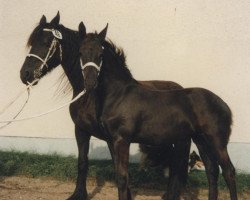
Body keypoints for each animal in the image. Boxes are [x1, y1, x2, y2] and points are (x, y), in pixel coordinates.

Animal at [19, 13, 190, 199]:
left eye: (46, 42)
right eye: (32, 42)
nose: (25, 74)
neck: (90, 97)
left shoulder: (115, 138)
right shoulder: (83, 130)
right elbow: (84, 162)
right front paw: (79, 194)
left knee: (176, 165)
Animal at [79, 25, 237, 200]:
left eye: (100, 54)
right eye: (80, 52)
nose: (90, 83)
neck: (119, 94)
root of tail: (224, 105)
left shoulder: (122, 140)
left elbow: (122, 178)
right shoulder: (112, 140)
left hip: (217, 141)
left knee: (229, 172)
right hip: (201, 140)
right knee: (212, 171)